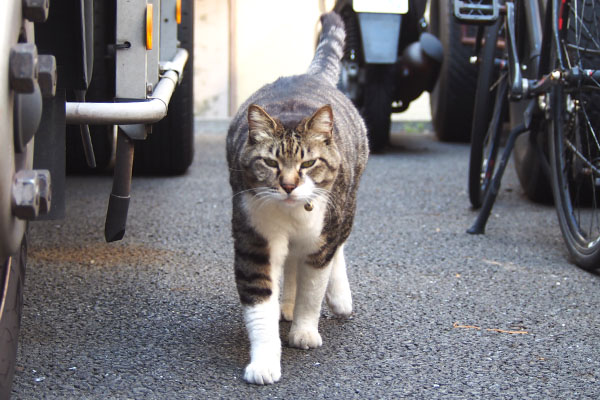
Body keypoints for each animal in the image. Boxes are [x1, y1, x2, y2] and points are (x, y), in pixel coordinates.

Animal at [225, 11, 368, 384]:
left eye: (307, 163)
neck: (290, 214)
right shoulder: (254, 239)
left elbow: (312, 291)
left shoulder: (320, 243)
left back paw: (339, 298)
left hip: (344, 208)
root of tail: (309, 74)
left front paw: (304, 332)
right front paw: (264, 362)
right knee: (288, 267)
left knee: (337, 249)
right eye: (271, 163)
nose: (289, 186)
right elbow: (261, 304)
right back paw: (285, 305)